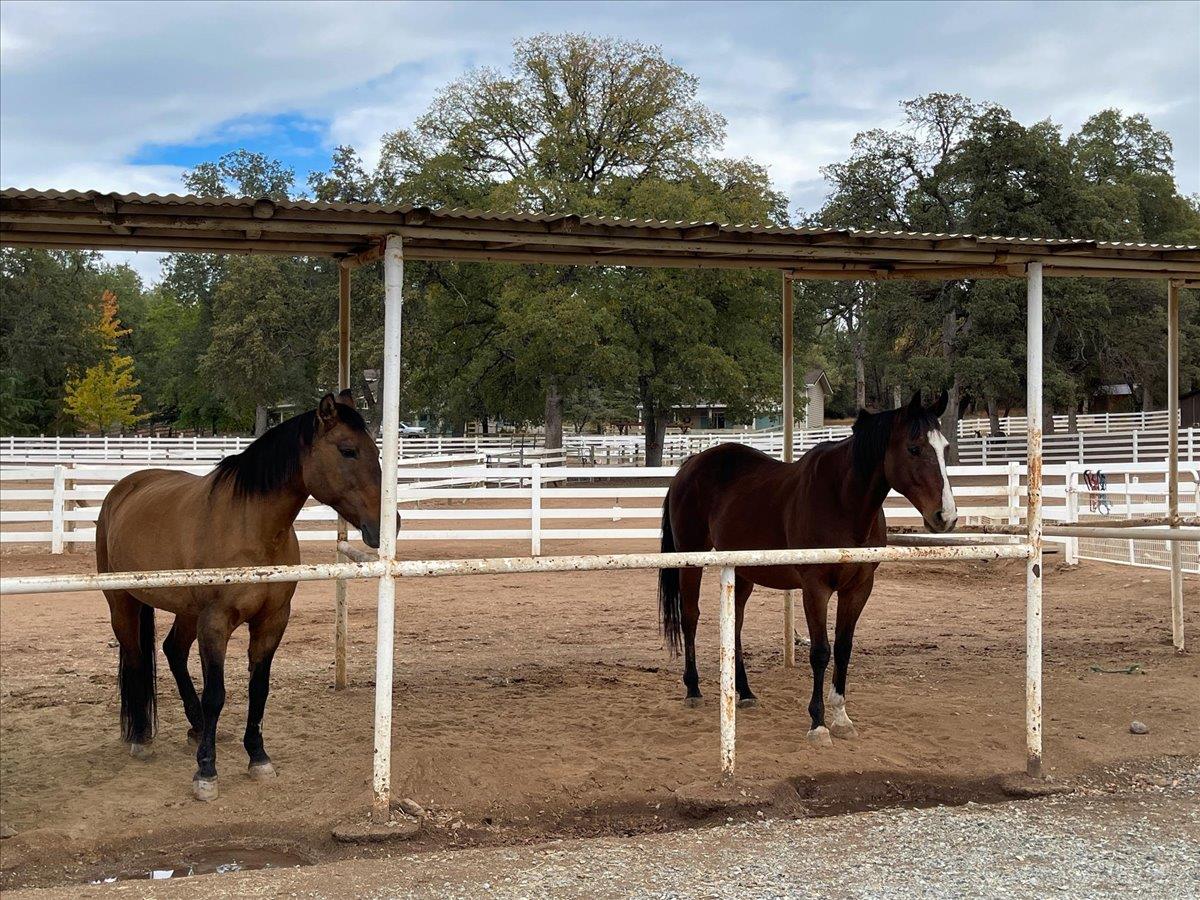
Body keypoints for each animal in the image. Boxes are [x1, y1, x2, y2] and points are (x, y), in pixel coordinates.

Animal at [96, 393, 381, 801]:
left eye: (376, 449)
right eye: (348, 450)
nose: (387, 524)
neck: (251, 528)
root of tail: (124, 489)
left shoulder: (271, 621)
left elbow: (258, 689)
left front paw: (258, 757)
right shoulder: (216, 623)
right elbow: (216, 693)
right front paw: (206, 772)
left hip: (186, 612)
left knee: (172, 651)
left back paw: (197, 727)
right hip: (123, 602)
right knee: (135, 658)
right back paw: (140, 737)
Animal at [657, 393, 955, 748]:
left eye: (945, 447)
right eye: (914, 448)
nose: (945, 516)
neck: (842, 501)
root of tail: (689, 465)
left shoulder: (859, 588)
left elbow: (843, 648)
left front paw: (841, 717)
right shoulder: (816, 589)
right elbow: (820, 652)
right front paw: (818, 723)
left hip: (742, 570)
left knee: (736, 624)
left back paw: (745, 692)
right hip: (691, 560)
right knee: (690, 617)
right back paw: (692, 688)